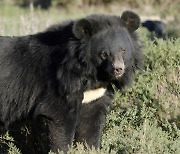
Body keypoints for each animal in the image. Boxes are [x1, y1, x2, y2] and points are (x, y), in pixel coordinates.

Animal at [0, 10, 143, 153]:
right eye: (104, 54)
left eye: (123, 50)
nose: (118, 69)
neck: (91, 73)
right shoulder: (59, 85)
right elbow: (61, 121)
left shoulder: (96, 95)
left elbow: (91, 125)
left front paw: (90, 149)